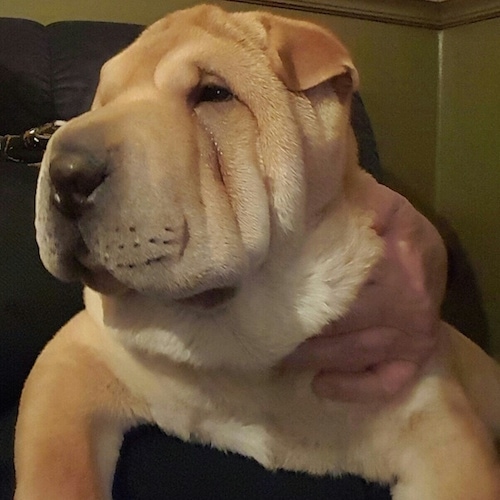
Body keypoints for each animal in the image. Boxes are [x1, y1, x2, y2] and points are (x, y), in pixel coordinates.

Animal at [13, 4, 500, 500]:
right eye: (103, 102)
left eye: (214, 94)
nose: (67, 171)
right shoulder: (79, 358)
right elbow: (57, 469)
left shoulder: (437, 427)